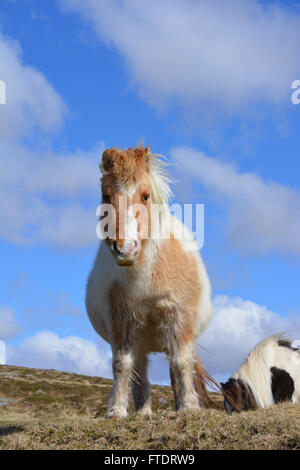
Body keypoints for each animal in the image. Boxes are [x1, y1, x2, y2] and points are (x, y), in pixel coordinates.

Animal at [85, 145, 214, 416]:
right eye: (105, 195)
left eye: (145, 196)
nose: (126, 249)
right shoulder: (122, 321)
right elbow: (122, 365)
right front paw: (116, 411)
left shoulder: (179, 318)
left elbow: (181, 363)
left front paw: (189, 408)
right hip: (140, 342)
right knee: (140, 375)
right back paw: (143, 414)